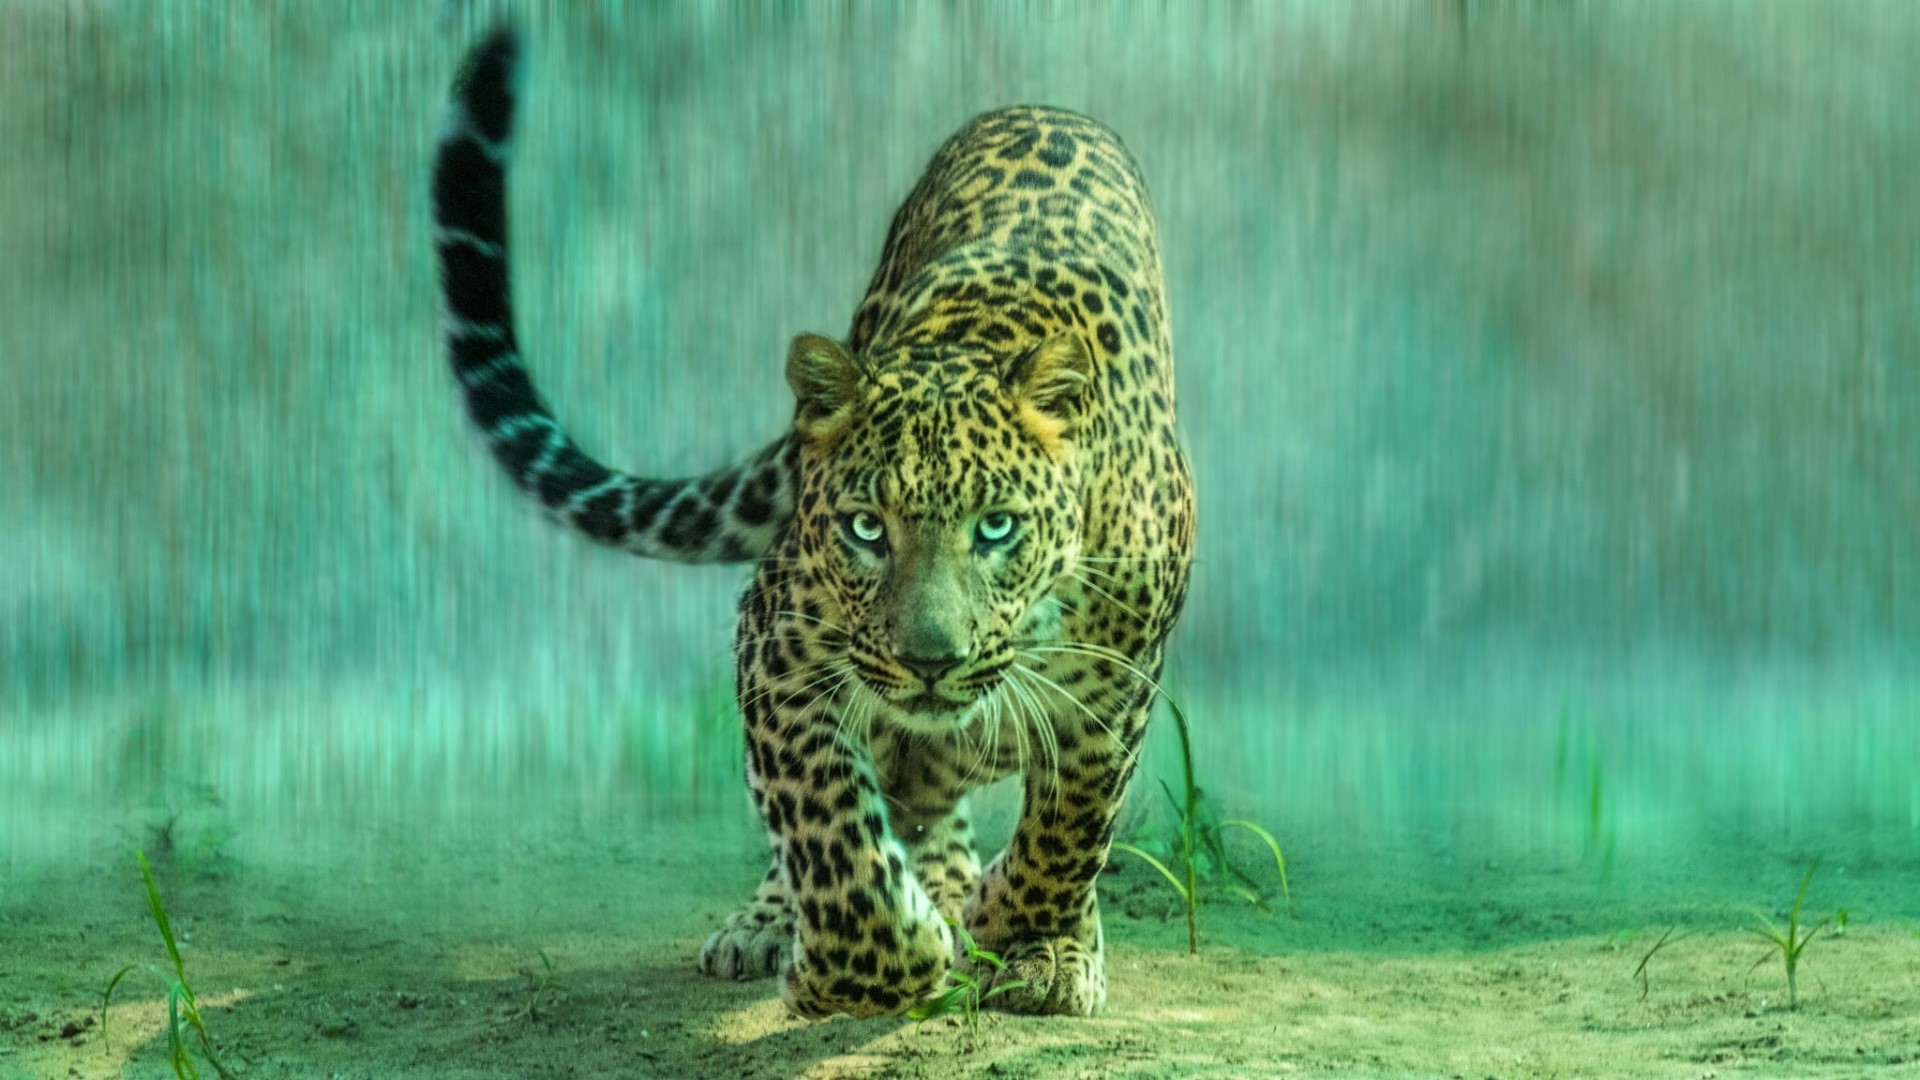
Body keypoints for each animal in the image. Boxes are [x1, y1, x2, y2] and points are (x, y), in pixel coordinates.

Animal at [432, 26, 1193, 1019]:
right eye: (867, 530)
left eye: (996, 529)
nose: (929, 662)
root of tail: (1040, 105)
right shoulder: (779, 645)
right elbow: (825, 819)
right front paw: (867, 967)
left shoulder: (1116, 683)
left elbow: (1072, 825)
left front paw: (1024, 935)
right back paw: (784, 916)